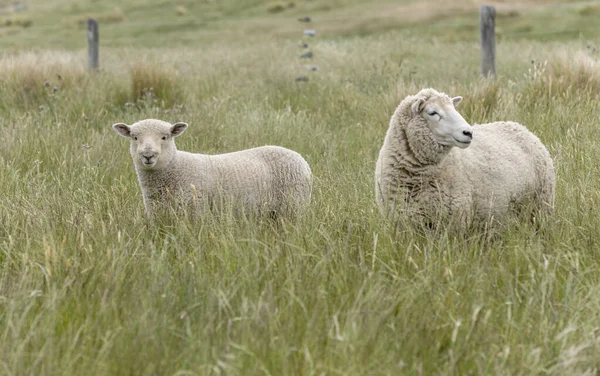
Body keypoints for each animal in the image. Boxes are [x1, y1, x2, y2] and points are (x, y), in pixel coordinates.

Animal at [110, 119, 314, 219]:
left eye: (165, 137)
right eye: (135, 137)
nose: (148, 155)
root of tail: (300, 157)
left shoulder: (196, 211)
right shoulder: (157, 215)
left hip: (294, 205)